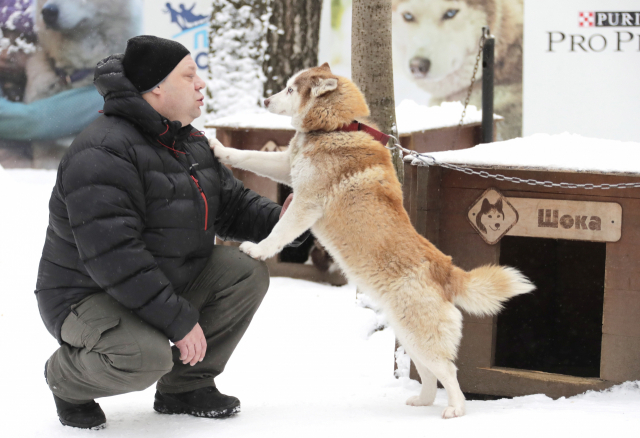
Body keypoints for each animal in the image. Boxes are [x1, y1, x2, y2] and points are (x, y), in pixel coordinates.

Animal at [210, 64, 536, 418]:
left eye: (289, 89)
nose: (265, 99)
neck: (336, 127)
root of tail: (447, 269)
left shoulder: (305, 203)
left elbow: (280, 233)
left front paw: (257, 250)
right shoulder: (286, 167)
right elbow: (248, 155)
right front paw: (218, 149)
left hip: (421, 336)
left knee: (448, 371)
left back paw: (455, 410)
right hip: (408, 335)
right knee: (429, 374)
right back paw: (422, 401)